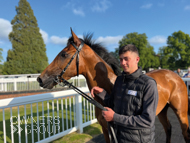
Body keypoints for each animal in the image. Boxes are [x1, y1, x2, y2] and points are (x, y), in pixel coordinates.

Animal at [37, 29, 190, 143]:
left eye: (63, 54)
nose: (40, 78)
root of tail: (174, 75)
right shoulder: (106, 130)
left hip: (181, 112)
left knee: (185, 132)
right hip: (162, 111)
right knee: (168, 128)